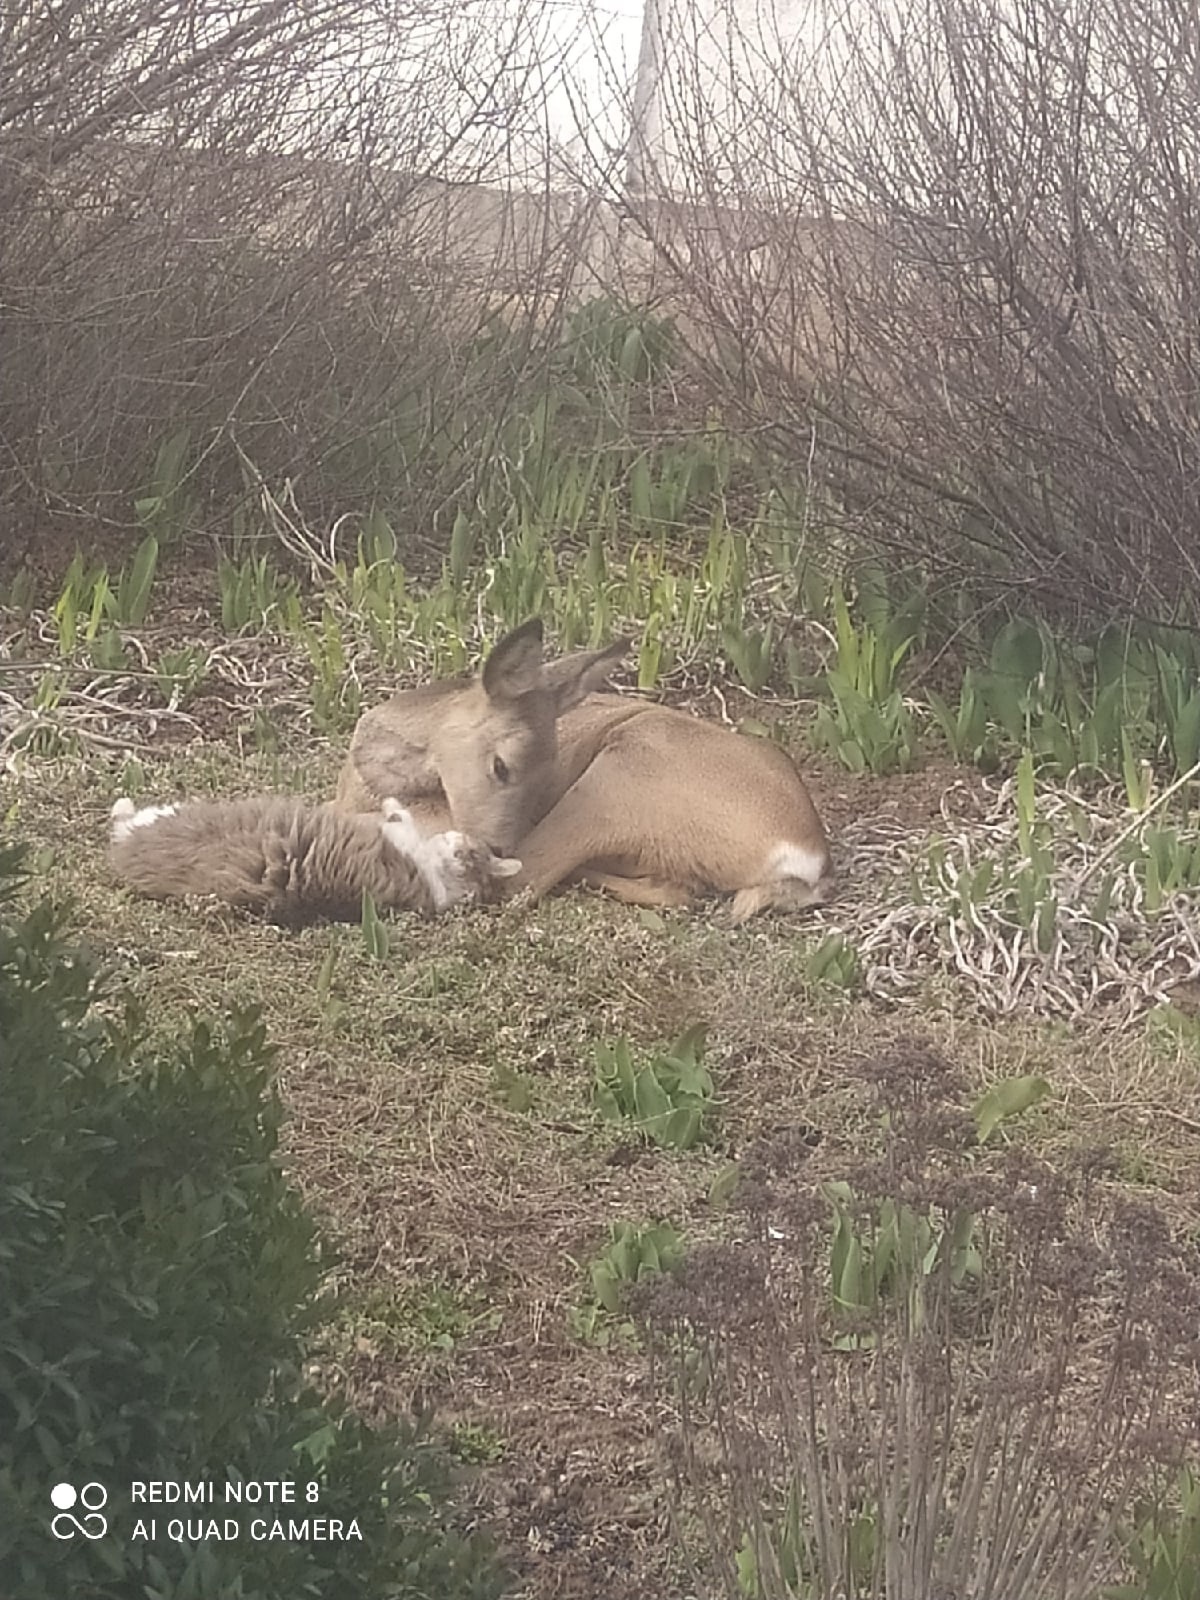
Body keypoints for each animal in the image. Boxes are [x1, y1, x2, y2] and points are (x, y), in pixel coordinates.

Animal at [112, 796, 521, 928]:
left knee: (121, 819)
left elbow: (398, 816)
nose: (455, 837)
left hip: (164, 818)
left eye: (470, 849)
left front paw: (392, 807)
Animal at [334, 620, 832, 928]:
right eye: (502, 765)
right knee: (675, 890)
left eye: (544, 772)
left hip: (616, 776)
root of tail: (803, 856)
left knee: (529, 878)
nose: (494, 848)